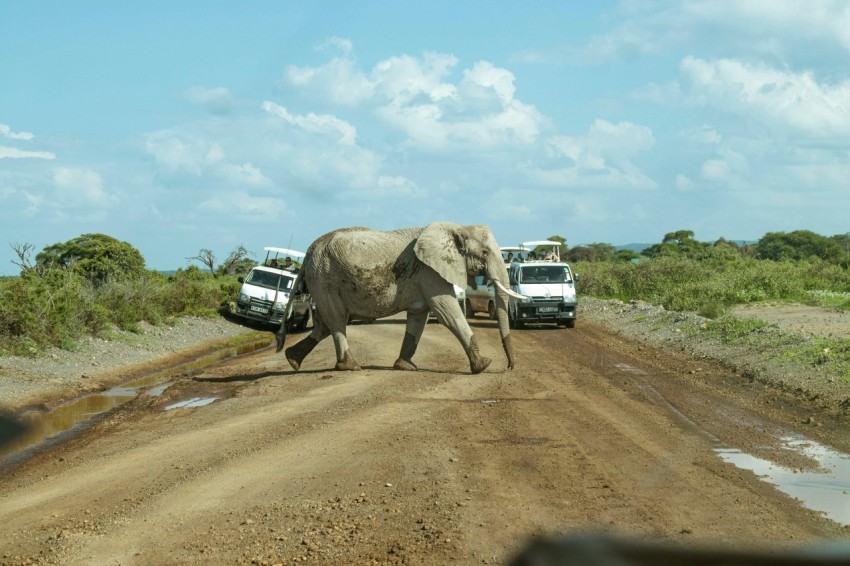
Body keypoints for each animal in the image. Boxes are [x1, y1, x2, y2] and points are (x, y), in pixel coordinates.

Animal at [274, 223, 524, 378]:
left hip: (322, 281)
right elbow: (447, 312)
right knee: (336, 320)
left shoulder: (423, 278)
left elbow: (418, 318)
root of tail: (309, 250)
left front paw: (405, 367)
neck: (457, 229)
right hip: (325, 278)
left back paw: (292, 360)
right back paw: (351, 367)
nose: (509, 368)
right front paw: (483, 365)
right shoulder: (430, 273)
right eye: (484, 253)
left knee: (327, 323)